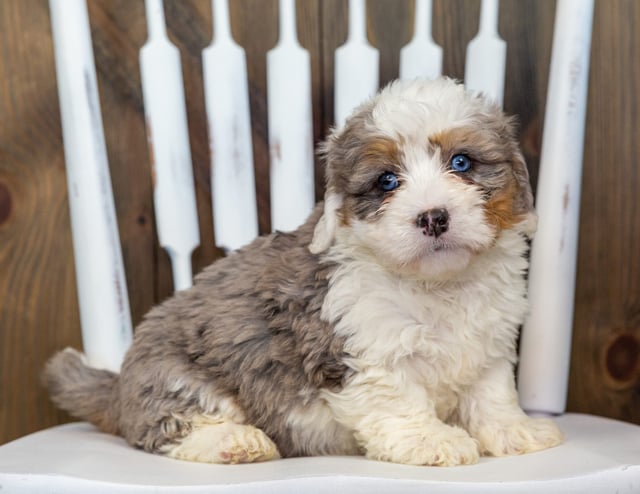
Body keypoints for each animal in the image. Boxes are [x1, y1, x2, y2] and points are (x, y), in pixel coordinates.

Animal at [45, 78, 564, 466]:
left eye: (462, 162)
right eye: (387, 181)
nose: (433, 217)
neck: (435, 284)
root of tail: (117, 386)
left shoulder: (489, 347)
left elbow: (492, 395)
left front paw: (516, 432)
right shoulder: (357, 350)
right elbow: (398, 399)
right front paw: (431, 440)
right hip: (173, 377)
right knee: (168, 426)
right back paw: (233, 441)